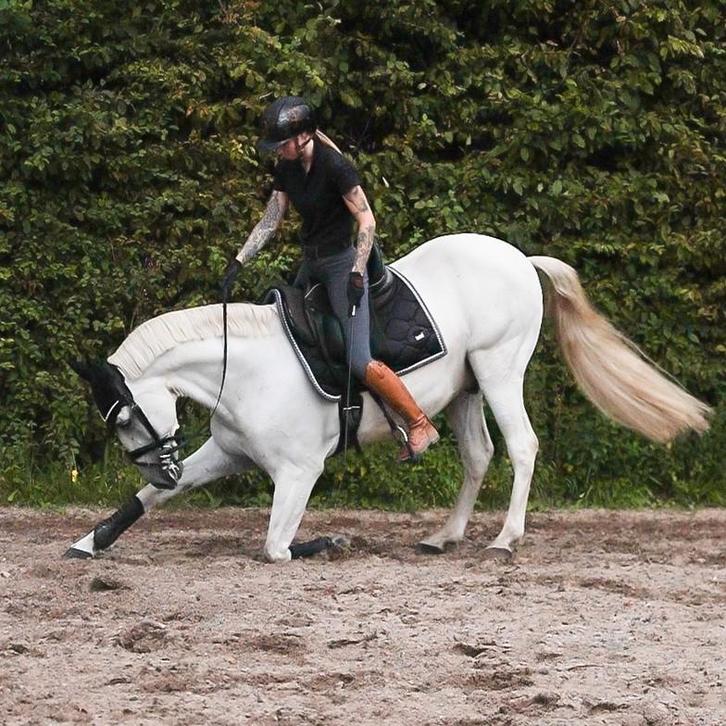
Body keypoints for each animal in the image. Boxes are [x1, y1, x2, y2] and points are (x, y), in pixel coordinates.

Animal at [66, 233, 711, 562]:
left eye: (123, 418)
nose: (163, 467)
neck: (244, 370)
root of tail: (520, 258)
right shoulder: (225, 454)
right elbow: (145, 501)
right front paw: (89, 541)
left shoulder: (299, 472)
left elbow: (275, 547)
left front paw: (329, 541)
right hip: (465, 389)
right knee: (479, 456)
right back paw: (444, 536)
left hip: (499, 370)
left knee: (523, 446)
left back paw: (504, 540)